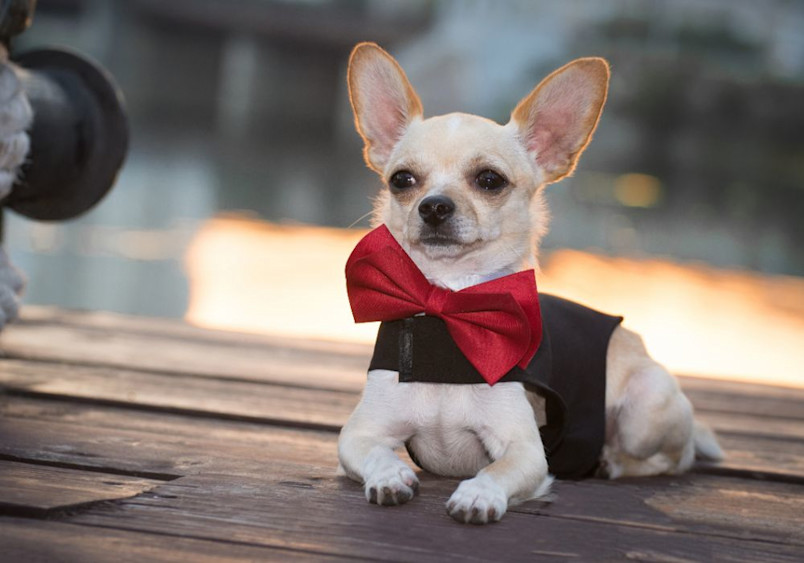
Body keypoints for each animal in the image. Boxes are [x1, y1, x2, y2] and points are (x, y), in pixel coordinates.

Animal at [336, 43, 724, 524]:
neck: (451, 306)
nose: (434, 206)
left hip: (645, 408)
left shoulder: (526, 451)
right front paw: (389, 475)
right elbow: (373, 452)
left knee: (676, 456)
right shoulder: (359, 434)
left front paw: (478, 495)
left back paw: (614, 461)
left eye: (489, 180)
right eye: (402, 180)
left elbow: (497, 470)